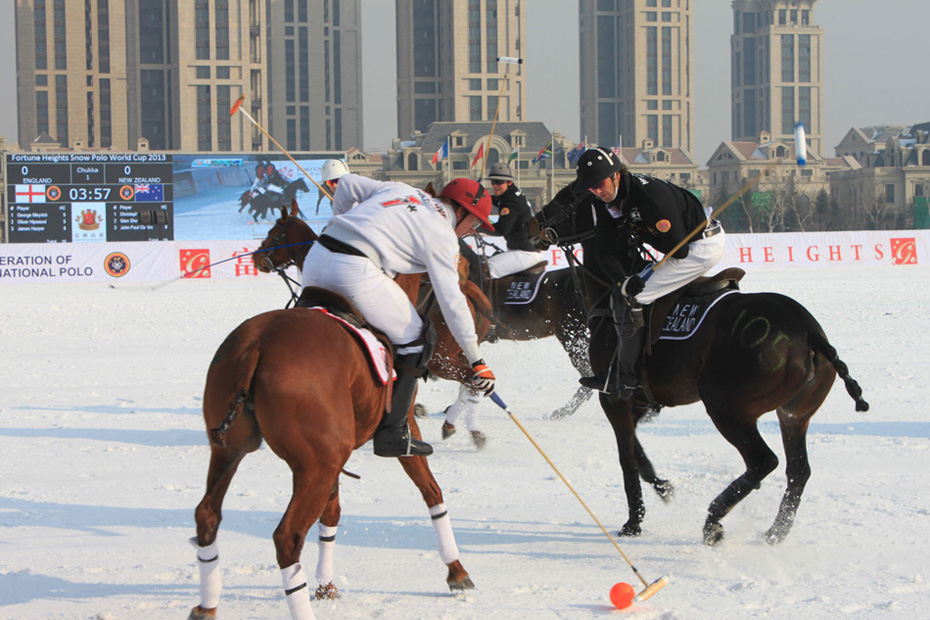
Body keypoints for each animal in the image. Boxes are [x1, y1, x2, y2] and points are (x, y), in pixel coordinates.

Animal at [532, 196, 868, 544]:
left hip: (727, 406)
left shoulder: (613, 397)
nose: (533, 224)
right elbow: (639, 454)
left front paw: (633, 523)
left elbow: (627, 458)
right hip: (794, 414)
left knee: (763, 461)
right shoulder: (641, 402)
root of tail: (808, 331)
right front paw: (664, 488)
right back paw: (774, 532)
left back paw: (713, 520)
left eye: (565, 200)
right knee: (798, 470)